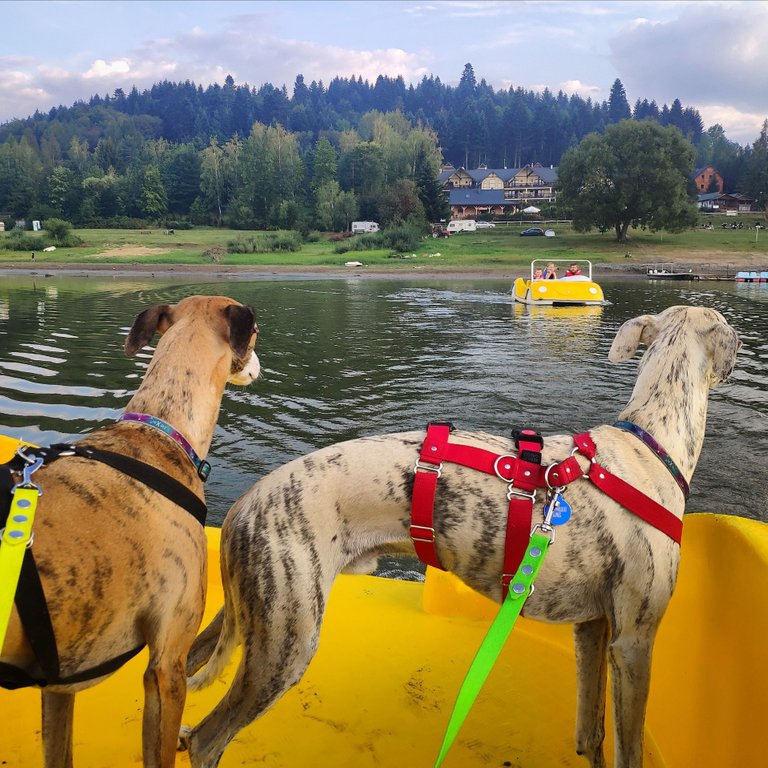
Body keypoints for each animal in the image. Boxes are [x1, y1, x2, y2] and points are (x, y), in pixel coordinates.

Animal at [178, 306, 736, 768]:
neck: (651, 445)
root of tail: (244, 504)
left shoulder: (593, 629)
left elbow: (590, 735)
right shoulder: (634, 641)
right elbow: (629, 748)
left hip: (254, 613)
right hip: (286, 639)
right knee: (206, 740)